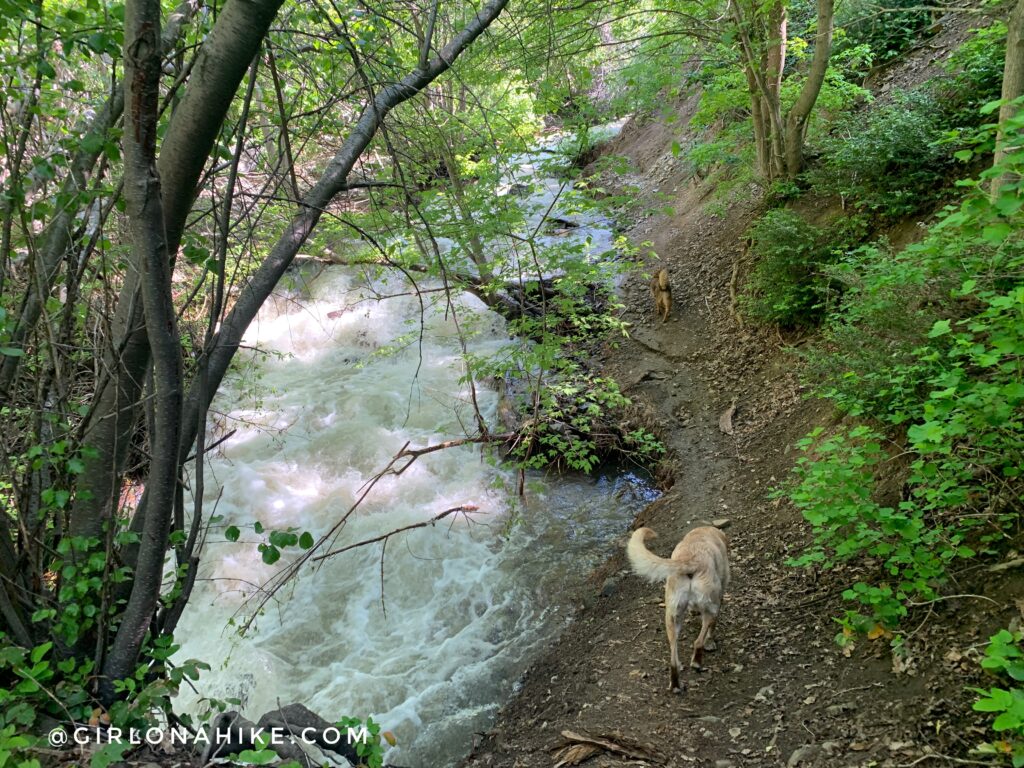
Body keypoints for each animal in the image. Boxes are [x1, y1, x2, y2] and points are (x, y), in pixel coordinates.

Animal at [622, 528, 729, 696]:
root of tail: (690, 560)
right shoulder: (719, 599)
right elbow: (712, 627)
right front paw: (710, 641)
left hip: (672, 617)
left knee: (673, 656)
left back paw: (676, 683)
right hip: (710, 607)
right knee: (698, 641)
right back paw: (697, 662)